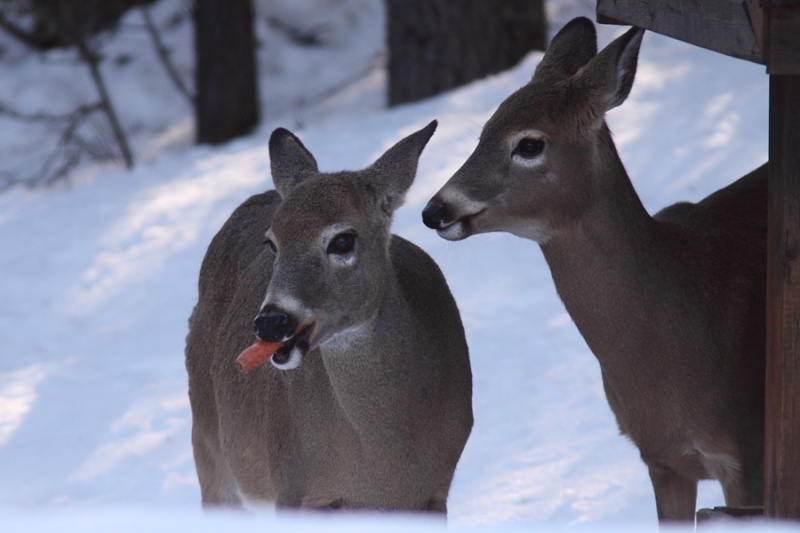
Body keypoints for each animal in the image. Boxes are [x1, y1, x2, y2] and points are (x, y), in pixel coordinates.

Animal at [186, 119, 476, 512]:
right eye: (271, 242)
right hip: (210, 453)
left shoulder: (433, 492)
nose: (271, 321)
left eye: (342, 240)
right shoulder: (294, 488)